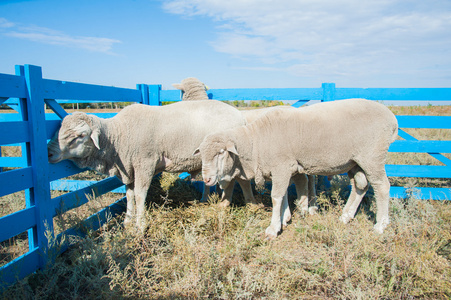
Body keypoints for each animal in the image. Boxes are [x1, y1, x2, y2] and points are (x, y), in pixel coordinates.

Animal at [48, 99, 258, 231]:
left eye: (80, 135)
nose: (49, 152)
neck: (120, 135)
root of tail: (241, 116)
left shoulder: (144, 164)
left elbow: (140, 195)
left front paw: (140, 225)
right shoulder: (129, 169)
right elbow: (129, 195)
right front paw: (127, 221)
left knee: (240, 180)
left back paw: (237, 204)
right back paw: (214, 202)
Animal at [194, 98, 400, 239]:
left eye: (221, 153)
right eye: (202, 154)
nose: (206, 179)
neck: (256, 142)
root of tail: (392, 118)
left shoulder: (281, 166)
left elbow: (276, 197)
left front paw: (273, 228)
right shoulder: (284, 169)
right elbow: (284, 194)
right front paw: (285, 218)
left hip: (372, 157)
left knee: (382, 187)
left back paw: (380, 225)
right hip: (355, 161)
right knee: (361, 185)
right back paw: (346, 216)